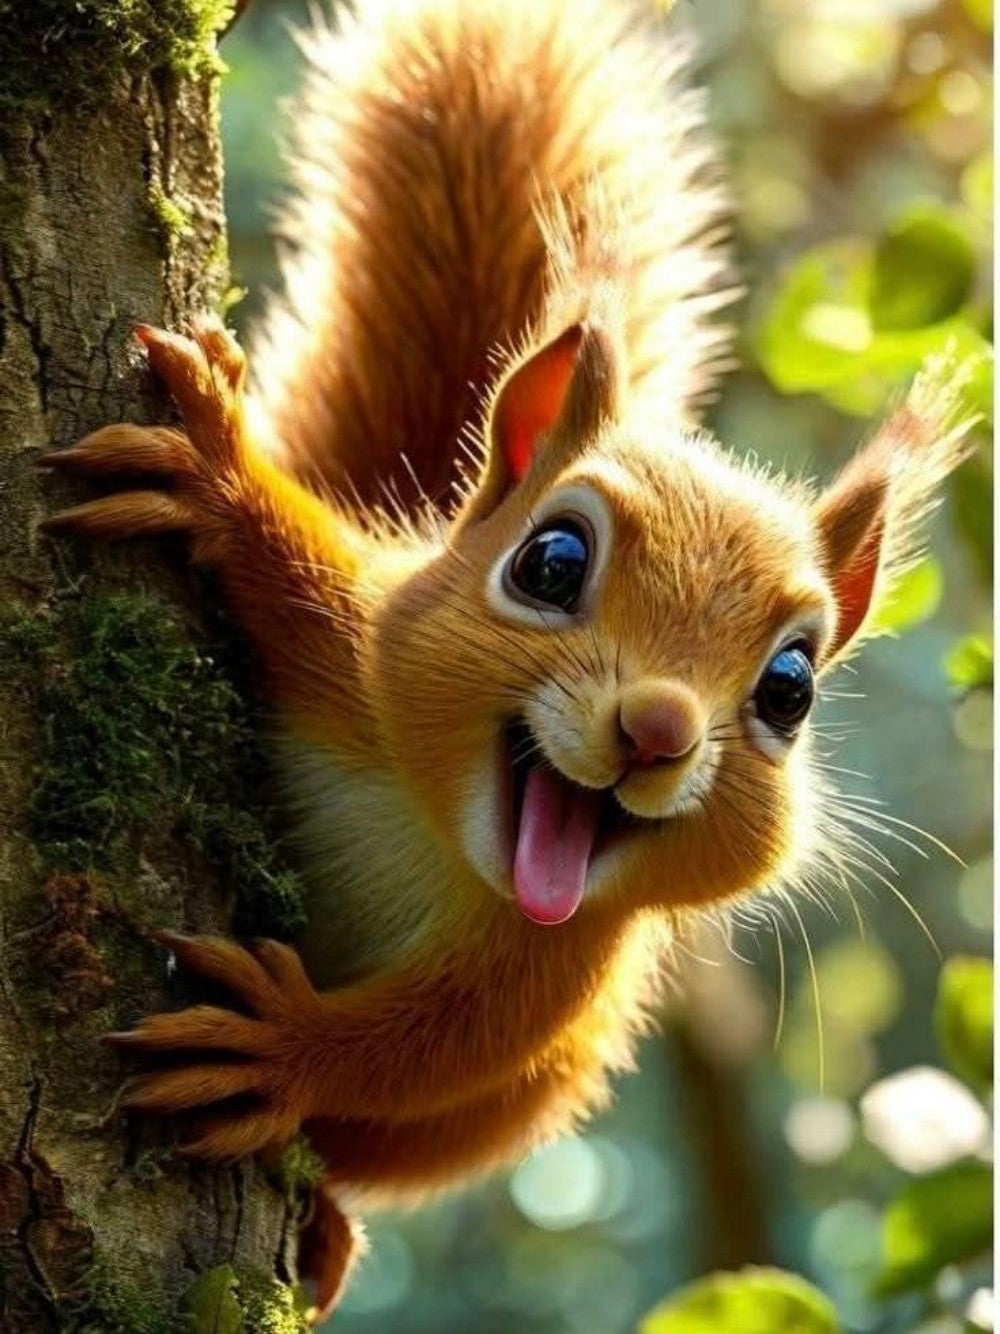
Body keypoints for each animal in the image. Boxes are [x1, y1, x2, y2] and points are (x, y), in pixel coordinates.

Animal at [40, 0, 973, 1321]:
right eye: (549, 561)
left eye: (789, 689)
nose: (656, 729)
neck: (440, 826)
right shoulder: (346, 646)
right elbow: (302, 579)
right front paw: (225, 485)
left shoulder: (568, 958)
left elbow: (443, 1043)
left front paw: (283, 1046)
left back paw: (327, 1224)